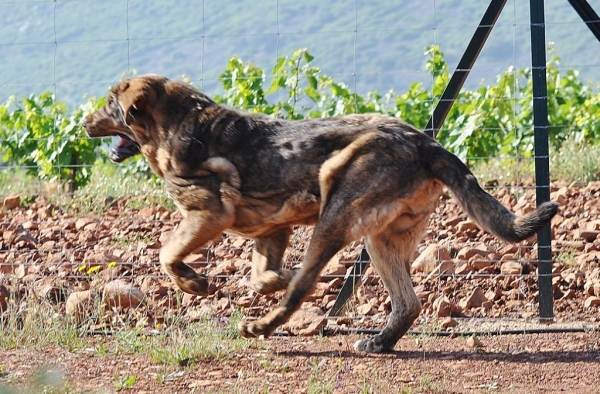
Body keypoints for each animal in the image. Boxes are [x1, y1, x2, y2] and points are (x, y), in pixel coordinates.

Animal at [84, 75, 556, 352]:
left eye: (108, 102)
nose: (84, 123)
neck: (179, 123)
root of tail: (425, 143)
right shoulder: (272, 230)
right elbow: (263, 277)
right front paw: (275, 277)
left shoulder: (209, 214)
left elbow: (168, 254)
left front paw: (193, 283)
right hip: (382, 239)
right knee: (407, 303)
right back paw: (379, 342)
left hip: (336, 206)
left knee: (306, 287)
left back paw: (263, 326)